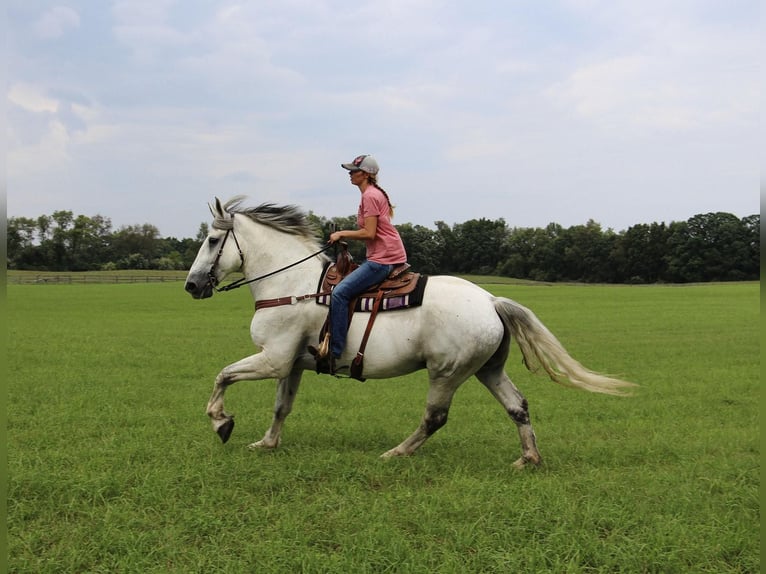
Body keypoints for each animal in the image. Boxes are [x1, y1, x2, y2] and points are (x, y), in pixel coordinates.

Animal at [184, 197, 636, 468]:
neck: (292, 285)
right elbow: (281, 407)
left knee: (435, 417)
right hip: (487, 369)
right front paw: (267, 443)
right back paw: (528, 459)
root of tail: (491, 301)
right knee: (518, 407)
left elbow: (222, 375)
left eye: (212, 240)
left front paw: (221, 423)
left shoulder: (273, 359)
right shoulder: (291, 363)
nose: (191, 285)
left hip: (447, 372)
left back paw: (397, 452)